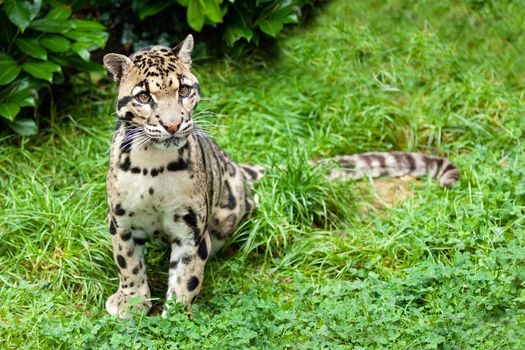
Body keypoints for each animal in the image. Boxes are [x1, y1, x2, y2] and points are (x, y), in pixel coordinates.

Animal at [102, 34, 458, 318]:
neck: (154, 165)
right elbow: (128, 263)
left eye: (185, 90)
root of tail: (235, 166)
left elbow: (186, 274)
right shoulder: (120, 220)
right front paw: (130, 301)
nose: (174, 124)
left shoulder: (191, 227)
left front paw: (175, 315)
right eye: (144, 96)